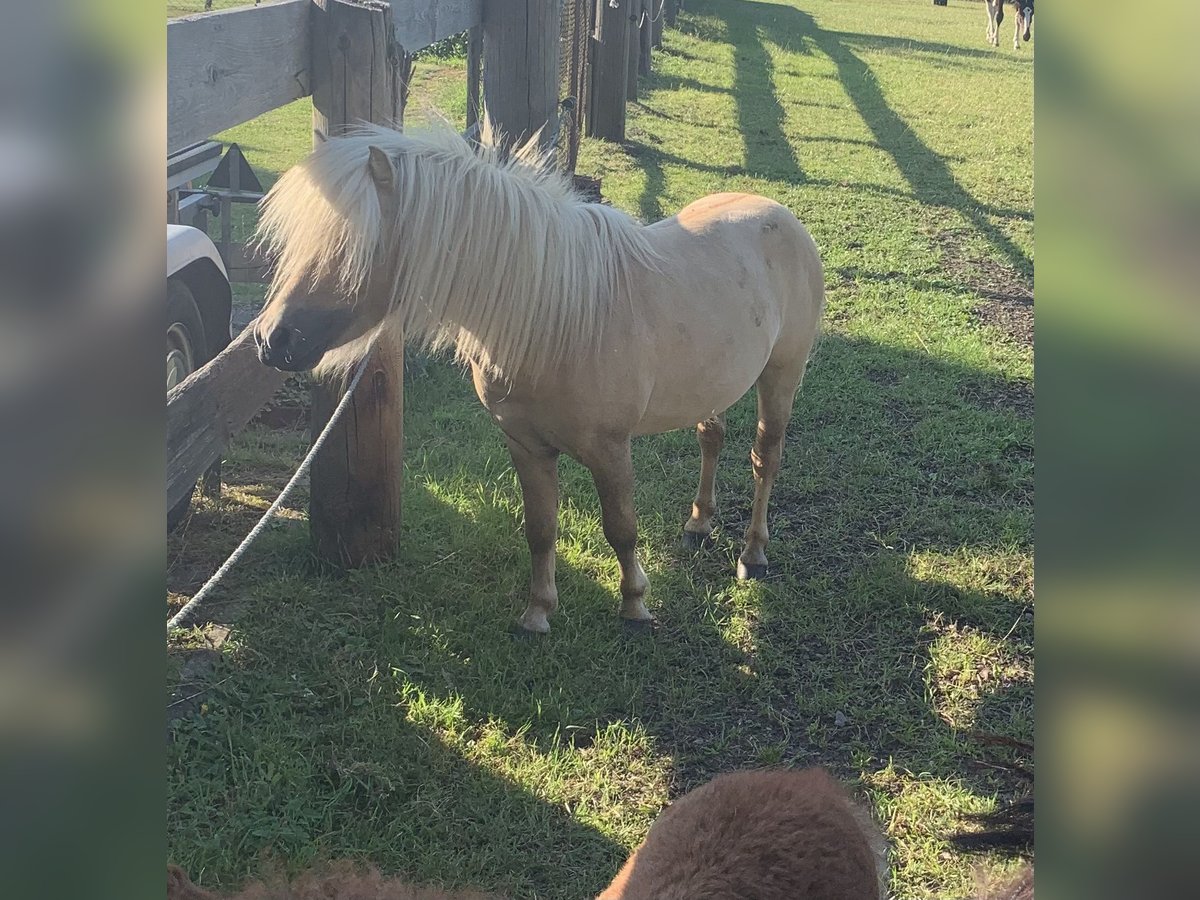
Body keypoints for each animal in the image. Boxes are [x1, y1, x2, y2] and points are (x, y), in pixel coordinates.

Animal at [248, 123, 820, 633]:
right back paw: (699, 523)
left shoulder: (610, 449)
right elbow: (541, 529)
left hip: (781, 377)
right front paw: (538, 613)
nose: (272, 340)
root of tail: (778, 214)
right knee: (711, 437)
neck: (556, 318)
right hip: (714, 384)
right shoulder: (525, 445)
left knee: (765, 458)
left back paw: (753, 554)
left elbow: (621, 528)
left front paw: (634, 606)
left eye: (352, 249)